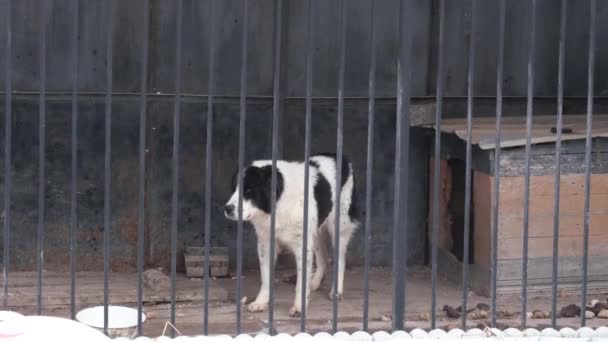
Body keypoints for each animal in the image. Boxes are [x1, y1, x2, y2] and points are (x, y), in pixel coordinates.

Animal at [222, 154, 356, 316]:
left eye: (248, 191)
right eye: (234, 189)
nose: (227, 209)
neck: (279, 203)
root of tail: (339, 157)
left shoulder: (302, 246)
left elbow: (300, 283)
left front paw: (299, 307)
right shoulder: (265, 244)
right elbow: (265, 278)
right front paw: (261, 302)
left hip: (339, 226)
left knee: (340, 260)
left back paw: (336, 291)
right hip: (316, 232)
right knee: (323, 259)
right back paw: (314, 283)